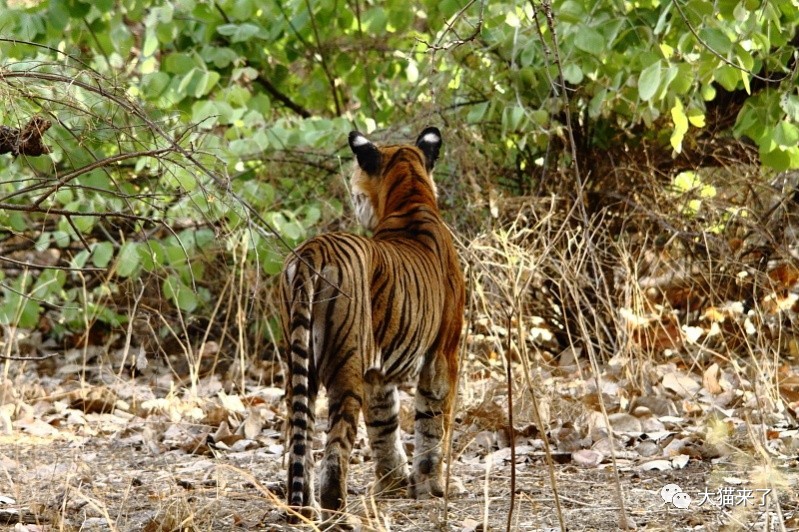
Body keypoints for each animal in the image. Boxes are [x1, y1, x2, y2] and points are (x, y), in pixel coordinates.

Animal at [282, 127, 468, 520]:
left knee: (298, 439)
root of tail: (312, 252)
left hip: (298, 368)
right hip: (344, 367)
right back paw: (339, 516)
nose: (354, 202)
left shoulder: (376, 373)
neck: (410, 195)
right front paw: (433, 486)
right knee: (335, 452)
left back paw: (303, 511)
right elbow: (434, 422)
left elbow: (385, 424)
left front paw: (394, 484)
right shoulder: (444, 353)